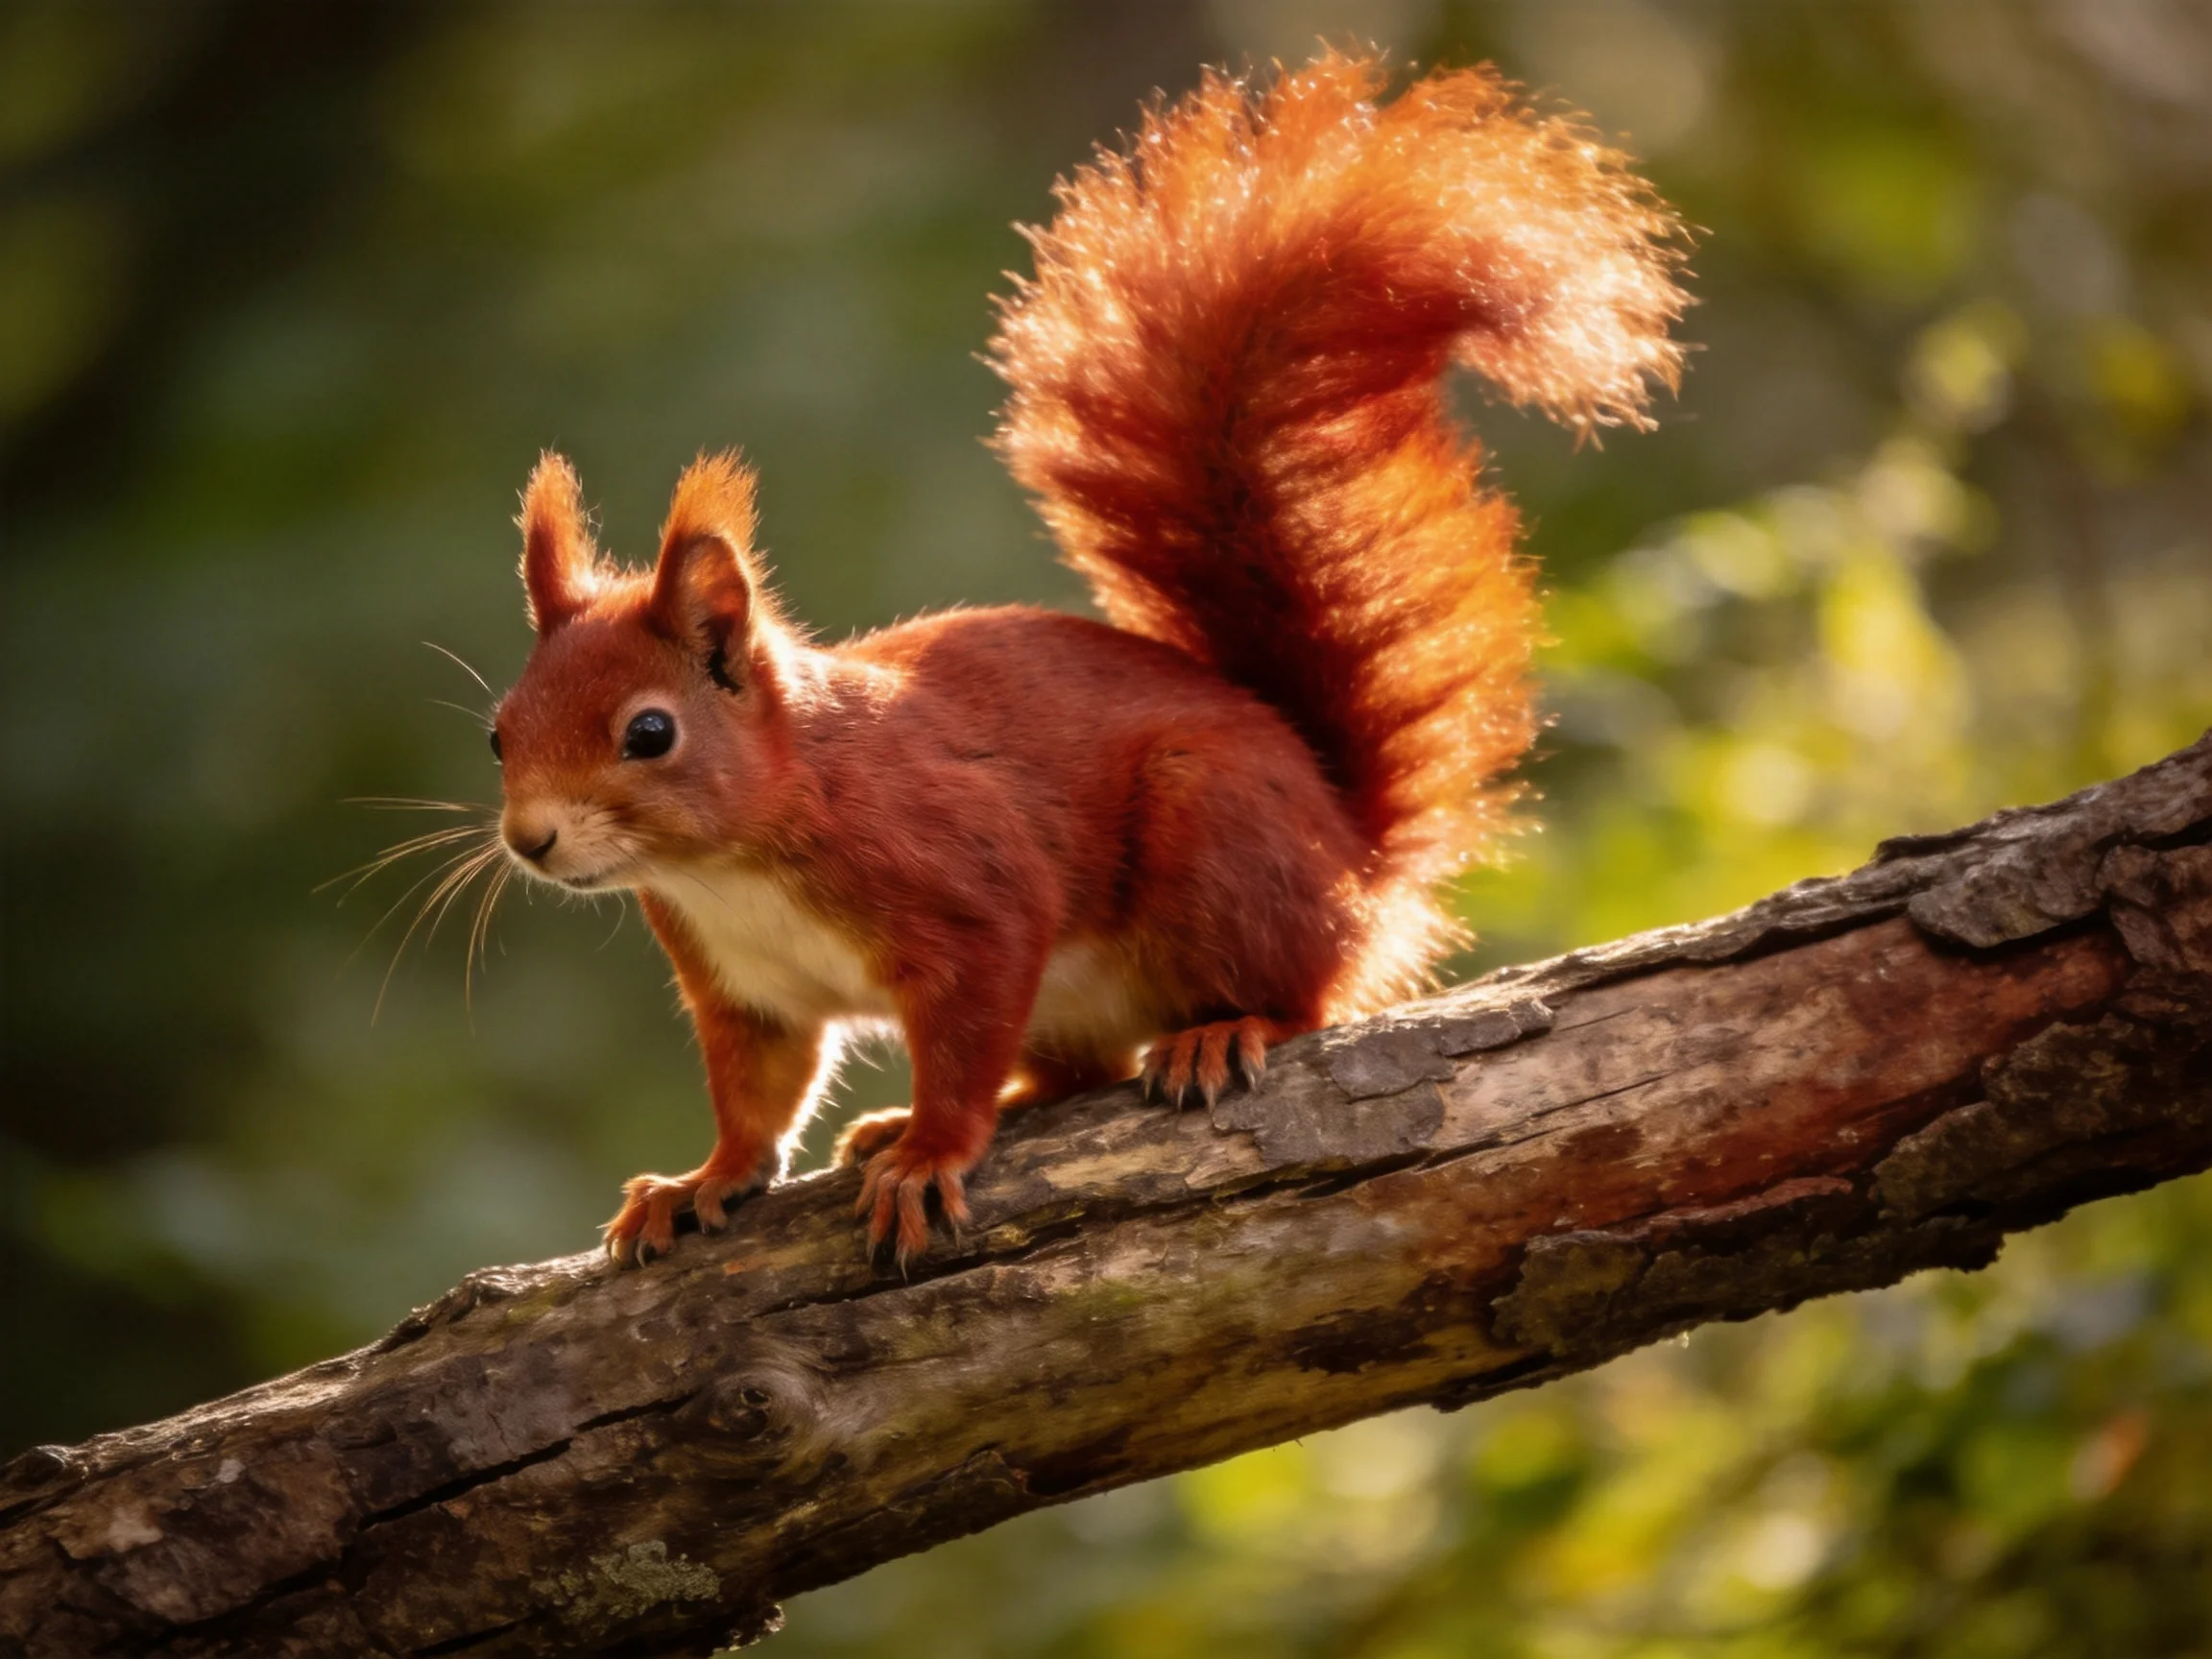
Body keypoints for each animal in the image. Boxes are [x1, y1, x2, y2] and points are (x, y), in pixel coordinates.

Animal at [486, 50, 1687, 1265]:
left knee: (1303, 997)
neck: (732, 861)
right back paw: (921, 1118)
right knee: (1076, 1072)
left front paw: (932, 1152)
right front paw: (704, 1179)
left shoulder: (967, 894)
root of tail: (1351, 854)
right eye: (499, 733)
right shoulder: (743, 991)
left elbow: (963, 1037)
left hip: (1220, 839)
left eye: (650, 732)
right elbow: (755, 1100)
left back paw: (1219, 1033)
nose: (530, 841)